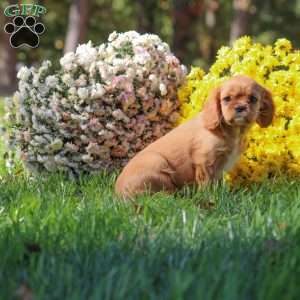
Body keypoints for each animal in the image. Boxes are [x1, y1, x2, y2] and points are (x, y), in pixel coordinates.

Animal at [115, 74, 274, 198]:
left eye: (253, 99)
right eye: (227, 99)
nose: (240, 107)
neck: (234, 131)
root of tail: (118, 193)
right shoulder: (205, 161)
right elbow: (207, 183)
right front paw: (211, 197)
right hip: (158, 162)